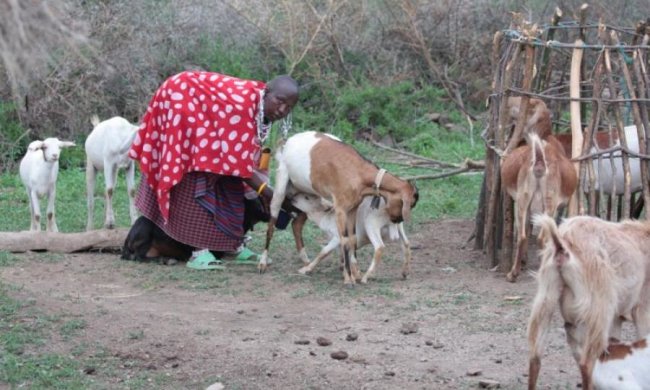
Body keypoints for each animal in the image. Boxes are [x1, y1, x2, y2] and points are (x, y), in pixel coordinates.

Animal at [260, 131, 418, 284]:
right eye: (409, 204)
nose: (397, 220)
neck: (358, 172)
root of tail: (289, 141)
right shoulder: (340, 209)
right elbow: (345, 240)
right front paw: (348, 278)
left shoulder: (353, 208)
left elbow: (352, 239)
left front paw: (355, 273)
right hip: (281, 183)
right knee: (271, 225)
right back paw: (263, 262)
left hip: (306, 192)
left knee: (297, 223)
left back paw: (305, 260)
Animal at [498, 133, 576, 282]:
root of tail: (540, 162)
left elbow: (528, 229)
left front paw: (524, 262)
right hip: (548, 204)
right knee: (541, 238)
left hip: (524, 200)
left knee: (523, 236)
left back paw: (513, 274)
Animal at [524, 215, 648, 388]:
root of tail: (561, 244)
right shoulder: (642, 308)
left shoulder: (617, 317)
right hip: (599, 310)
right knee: (587, 363)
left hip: (546, 298)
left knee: (535, 357)